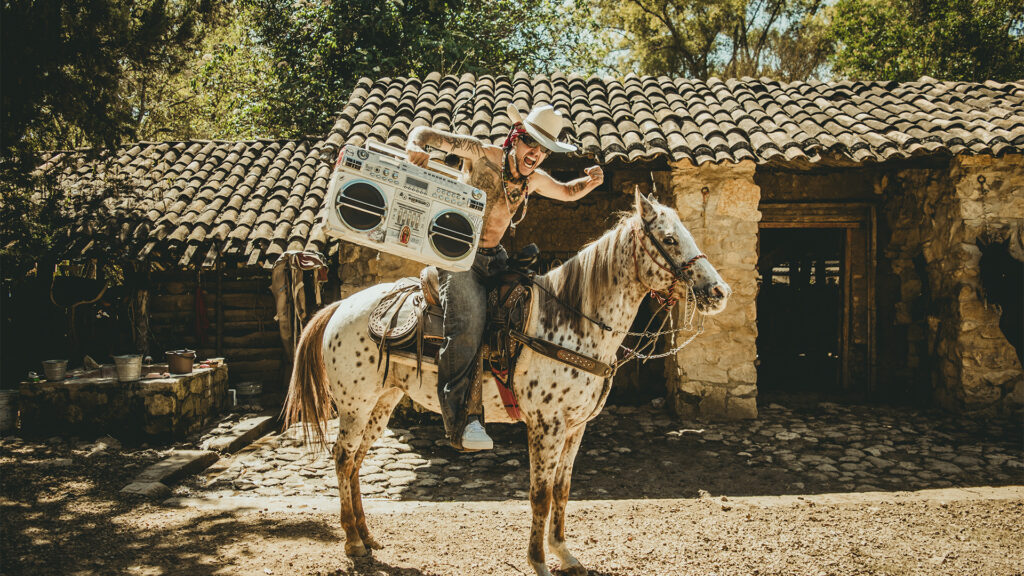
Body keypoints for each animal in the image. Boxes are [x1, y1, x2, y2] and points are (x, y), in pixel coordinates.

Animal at [284, 189, 731, 576]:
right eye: (670, 239)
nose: (719, 291)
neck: (571, 323)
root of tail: (341, 305)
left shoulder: (576, 427)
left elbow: (563, 490)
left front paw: (564, 553)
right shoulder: (546, 426)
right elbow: (540, 495)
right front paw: (538, 561)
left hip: (382, 403)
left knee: (356, 462)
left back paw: (367, 538)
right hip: (354, 406)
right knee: (342, 459)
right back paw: (352, 544)